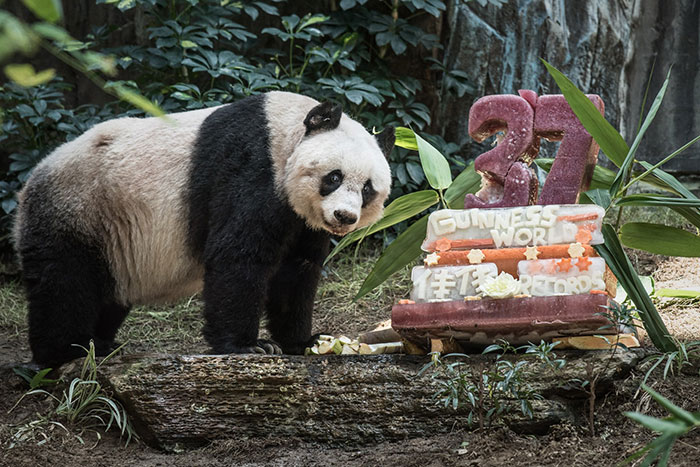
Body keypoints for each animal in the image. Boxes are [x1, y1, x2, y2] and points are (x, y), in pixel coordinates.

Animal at [14, 91, 394, 367]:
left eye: (367, 189)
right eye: (334, 177)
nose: (344, 217)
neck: (284, 134)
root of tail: (31, 179)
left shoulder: (301, 218)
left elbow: (297, 270)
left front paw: (304, 341)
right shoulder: (250, 167)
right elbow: (238, 256)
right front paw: (249, 347)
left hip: (112, 236)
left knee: (106, 292)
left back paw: (103, 343)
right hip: (79, 208)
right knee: (64, 282)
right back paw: (66, 352)